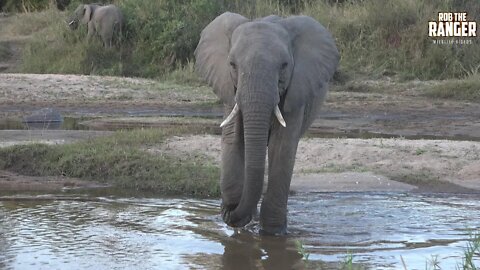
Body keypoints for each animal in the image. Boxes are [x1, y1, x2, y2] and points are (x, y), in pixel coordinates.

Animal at [193, 12, 340, 234]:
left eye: (284, 66)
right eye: (232, 65)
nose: (228, 212)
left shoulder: (296, 91)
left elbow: (283, 146)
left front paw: (273, 232)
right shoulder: (229, 87)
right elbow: (233, 137)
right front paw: (242, 221)